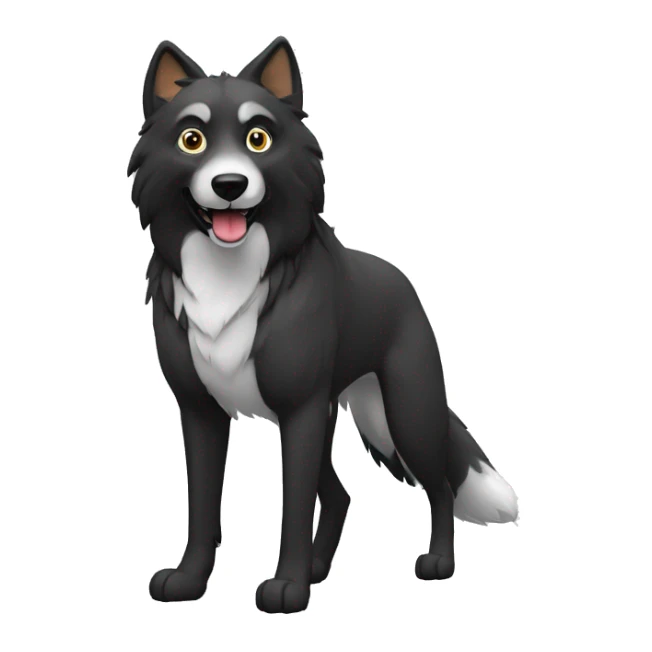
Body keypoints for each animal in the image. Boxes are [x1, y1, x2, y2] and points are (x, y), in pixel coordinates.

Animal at [128, 36, 518, 614]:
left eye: (259, 138)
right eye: (191, 139)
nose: (229, 183)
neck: (230, 274)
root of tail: (404, 281)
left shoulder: (301, 411)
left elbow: (292, 507)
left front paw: (287, 588)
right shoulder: (199, 411)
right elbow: (202, 507)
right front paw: (190, 581)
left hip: (406, 414)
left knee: (439, 488)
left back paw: (437, 565)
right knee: (339, 494)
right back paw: (318, 569)